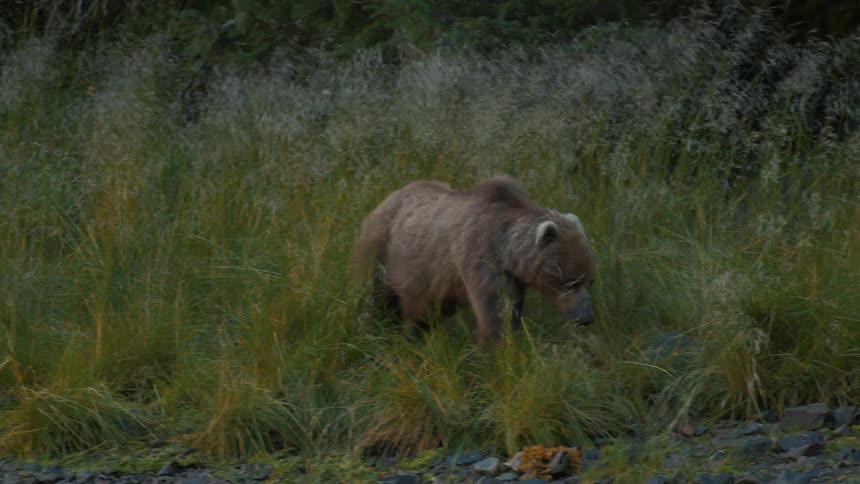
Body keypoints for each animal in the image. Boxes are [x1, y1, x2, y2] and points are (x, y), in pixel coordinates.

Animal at [352, 175, 595, 347]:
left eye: (588, 280)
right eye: (569, 282)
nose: (586, 318)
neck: (506, 248)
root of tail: (386, 199)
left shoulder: (513, 276)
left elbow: (514, 305)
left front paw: (513, 334)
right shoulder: (478, 252)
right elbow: (489, 307)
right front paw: (492, 343)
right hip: (384, 251)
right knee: (381, 297)